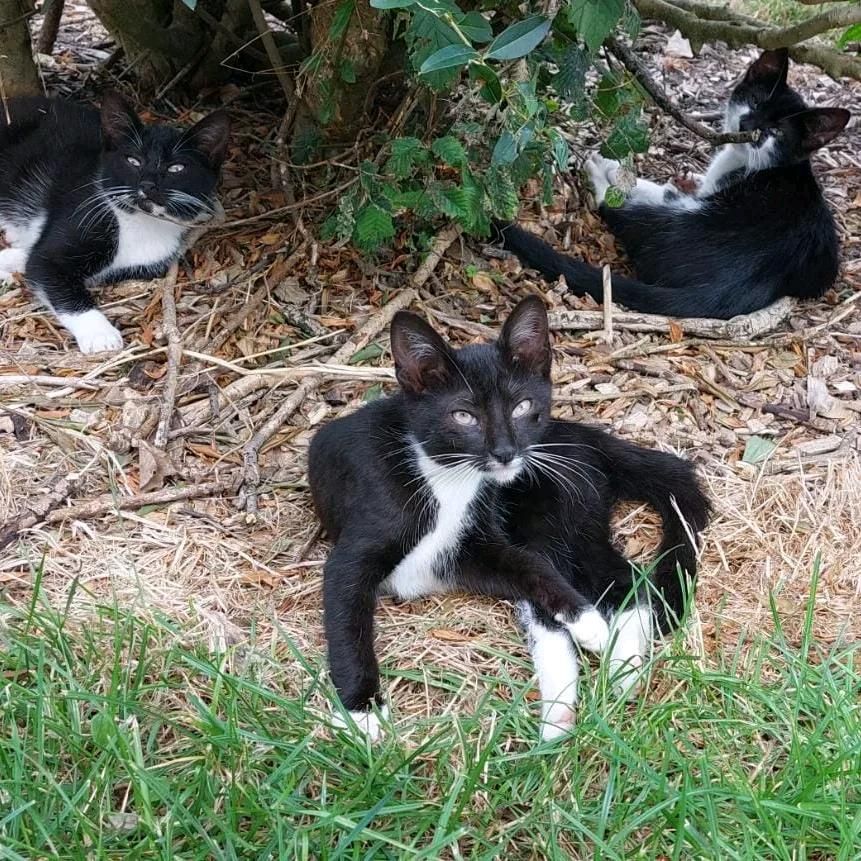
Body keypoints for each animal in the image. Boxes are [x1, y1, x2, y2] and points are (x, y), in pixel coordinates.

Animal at [0, 91, 228, 352]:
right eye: (133, 161)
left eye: (176, 168)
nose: (148, 185)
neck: (139, 223)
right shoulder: (82, 215)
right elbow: (45, 266)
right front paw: (100, 334)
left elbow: (34, 258)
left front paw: (12, 258)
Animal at [306, 296, 708, 740]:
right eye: (464, 416)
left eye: (522, 407)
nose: (504, 452)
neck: (447, 479)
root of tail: (582, 436)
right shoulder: (374, 543)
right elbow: (347, 619)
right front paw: (362, 710)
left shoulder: (477, 542)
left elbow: (532, 567)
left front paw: (589, 622)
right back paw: (564, 710)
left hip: (554, 506)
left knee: (616, 580)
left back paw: (617, 672)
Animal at [494, 46, 848, 320]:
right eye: (757, 102)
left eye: (776, 132)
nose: (749, 125)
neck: (765, 164)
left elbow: (656, 190)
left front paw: (612, 168)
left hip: (684, 220)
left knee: (625, 210)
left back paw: (599, 174)